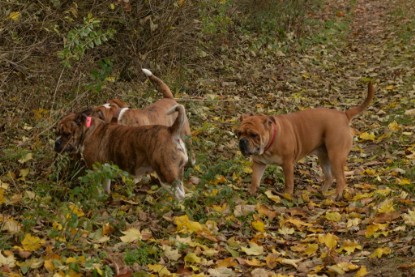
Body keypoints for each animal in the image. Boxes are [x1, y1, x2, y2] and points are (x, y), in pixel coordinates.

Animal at [237, 82, 376, 198]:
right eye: (239, 133)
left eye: (254, 135)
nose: (242, 141)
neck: (270, 143)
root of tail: (344, 115)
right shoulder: (259, 163)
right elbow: (255, 180)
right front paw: (250, 193)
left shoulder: (287, 164)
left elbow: (288, 182)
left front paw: (287, 195)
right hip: (324, 157)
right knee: (329, 177)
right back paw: (322, 193)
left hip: (336, 156)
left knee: (341, 179)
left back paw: (335, 196)